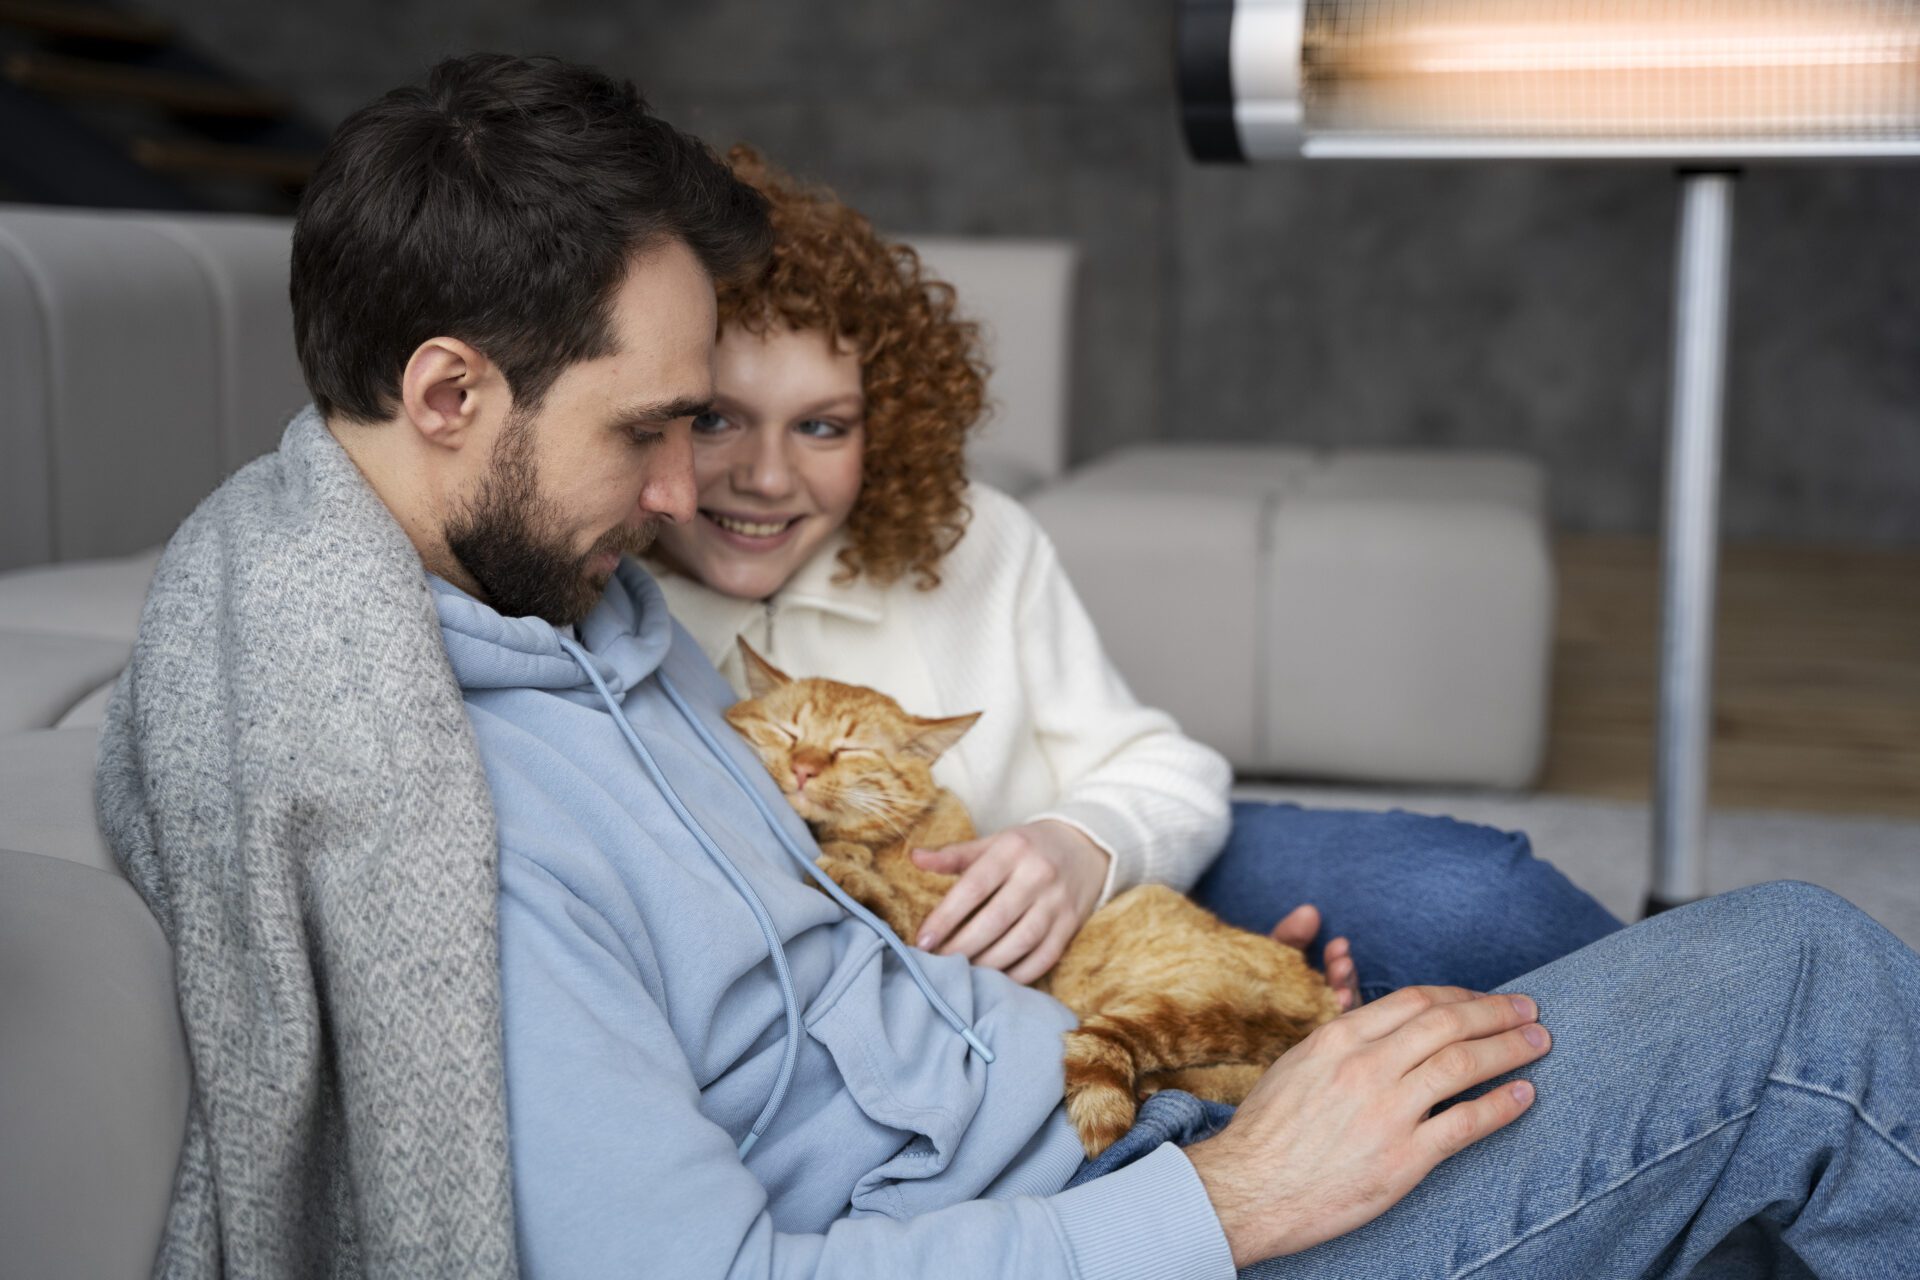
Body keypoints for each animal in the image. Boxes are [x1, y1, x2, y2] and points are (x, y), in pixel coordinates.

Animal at [721, 640, 1336, 1159]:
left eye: (850, 749)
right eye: (786, 731)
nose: (803, 768)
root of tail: (1322, 1002)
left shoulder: (943, 925)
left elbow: (887, 903)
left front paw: (846, 871)